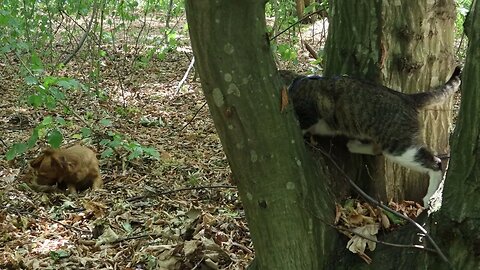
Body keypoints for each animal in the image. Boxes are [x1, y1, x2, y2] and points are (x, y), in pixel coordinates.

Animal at [282, 68, 462, 207]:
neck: (293, 84)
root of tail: (406, 97)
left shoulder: (309, 112)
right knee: (377, 149)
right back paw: (354, 145)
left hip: (401, 147)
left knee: (436, 163)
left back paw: (429, 196)